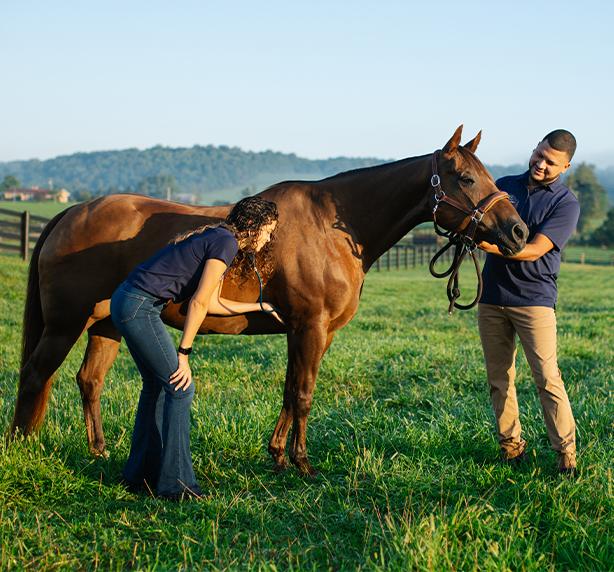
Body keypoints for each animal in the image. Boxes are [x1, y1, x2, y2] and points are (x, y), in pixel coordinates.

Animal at [9, 127, 528, 476]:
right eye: (464, 178)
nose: (518, 231)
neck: (332, 228)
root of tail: (70, 213)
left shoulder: (307, 332)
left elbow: (289, 390)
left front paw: (278, 455)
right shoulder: (310, 327)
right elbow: (303, 394)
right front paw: (302, 462)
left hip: (107, 325)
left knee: (89, 381)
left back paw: (98, 450)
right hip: (65, 324)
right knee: (36, 375)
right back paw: (21, 445)